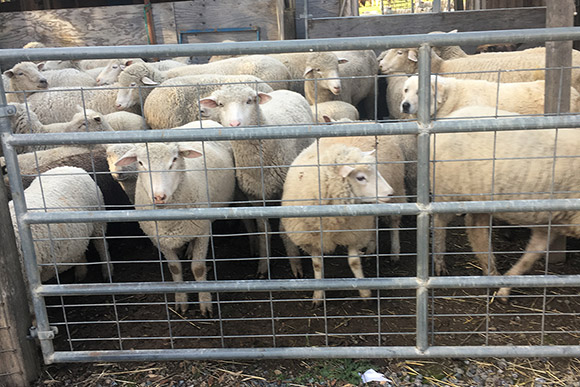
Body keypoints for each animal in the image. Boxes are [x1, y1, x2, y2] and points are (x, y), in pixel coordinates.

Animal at [115, 141, 236, 316]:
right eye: (140, 163)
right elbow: (175, 268)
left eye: (174, 160)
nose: (159, 196)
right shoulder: (159, 239)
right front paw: (181, 302)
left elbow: (198, 268)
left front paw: (205, 303)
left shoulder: (202, 231)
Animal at [201, 86, 318, 278]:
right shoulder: (254, 195)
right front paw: (263, 266)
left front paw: (295, 264)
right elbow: (264, 231)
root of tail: (286, 90)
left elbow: (283, 228)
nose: (235, 124)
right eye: (220, 104)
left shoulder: (283, 190)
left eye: (249, 101)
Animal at [280, 141, 394, 304]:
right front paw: (318, 295)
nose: (390, 193)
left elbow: (354, 262)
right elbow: (317, 265)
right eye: (360, 177)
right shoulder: (312, 239)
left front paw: (365, 293)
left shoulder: (354, 233)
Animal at [428, 105, 580, 300]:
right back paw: (441, 263)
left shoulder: (550, 221)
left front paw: (504, 290)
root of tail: (451, 117)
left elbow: (531, 256)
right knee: (440, 222)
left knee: (475, 226)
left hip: (480, 196)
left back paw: (490, 271)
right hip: (448, 188)